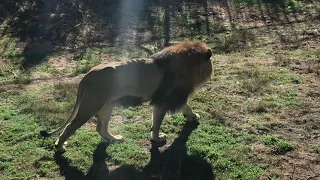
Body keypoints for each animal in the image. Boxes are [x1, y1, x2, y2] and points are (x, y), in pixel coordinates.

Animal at [40, 40, 215, 152]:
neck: (188, 63)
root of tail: (87, 75)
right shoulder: (165, 99)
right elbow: (158, 122)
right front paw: (157, 139)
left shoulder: (171, 97)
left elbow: (186, 107)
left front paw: (193, 116)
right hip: (91, 105)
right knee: (70, 127)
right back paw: (60, 147)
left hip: (107, 105)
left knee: (101, 127)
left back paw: (116, 139)